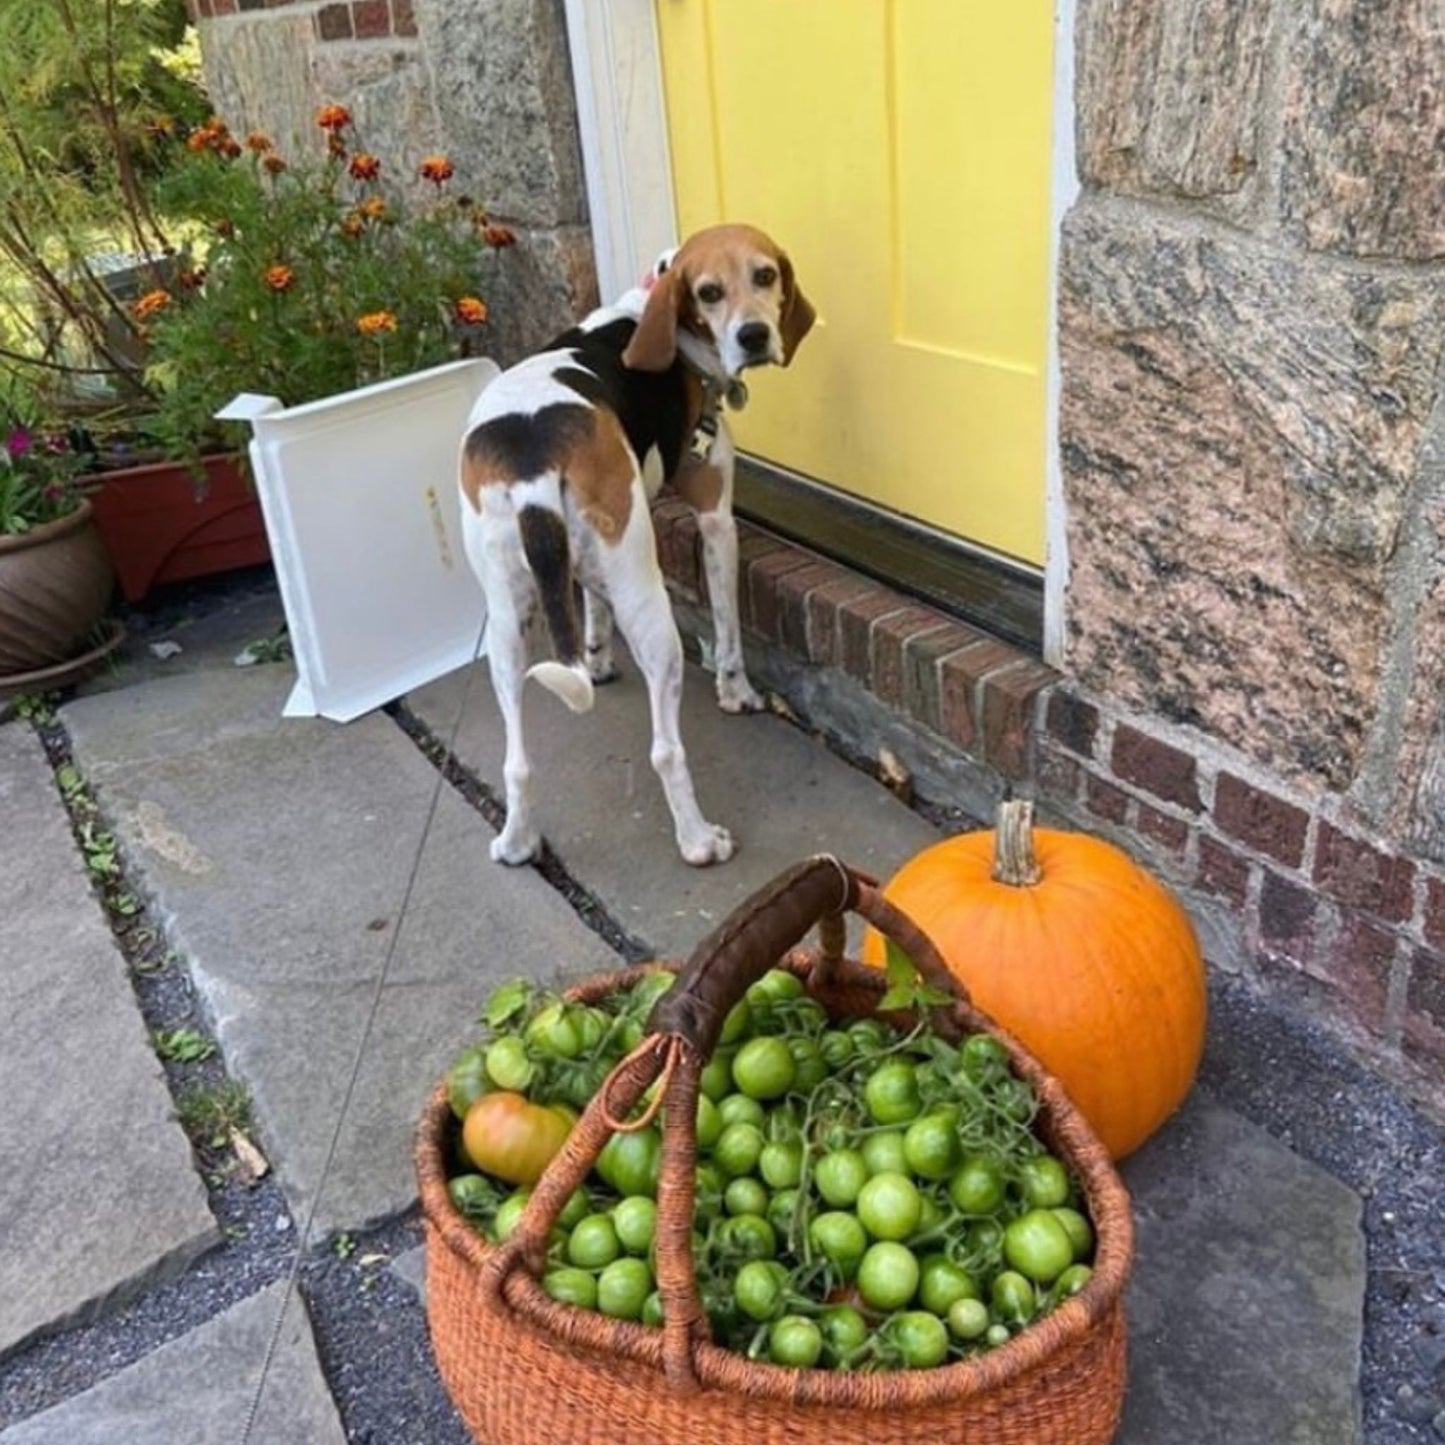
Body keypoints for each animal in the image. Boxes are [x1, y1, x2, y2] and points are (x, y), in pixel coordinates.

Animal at [459, 219, 814, 861]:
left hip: (507, 619)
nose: (753, 336)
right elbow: (728, 631)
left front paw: (597, 657)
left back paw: (518, 840)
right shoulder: (716, 520)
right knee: (665, 751)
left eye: (765, 275)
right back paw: (699, 840)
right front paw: (738, 694)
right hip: (650, 607)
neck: (651, 306)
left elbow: (591, 606)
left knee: (516, 761)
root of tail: (533, 459)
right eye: (708, 292)